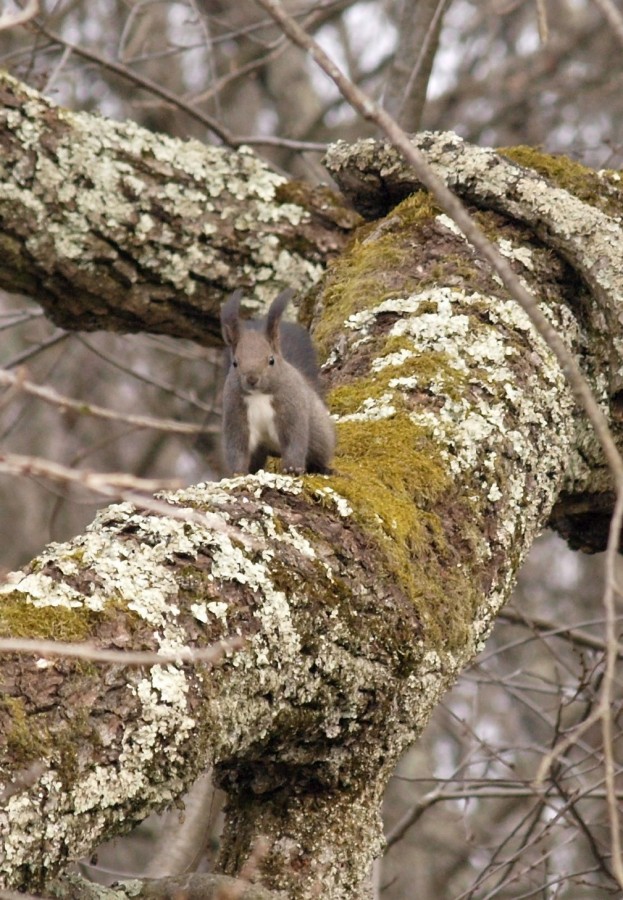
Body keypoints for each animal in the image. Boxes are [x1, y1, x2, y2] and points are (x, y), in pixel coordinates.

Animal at [221, 290, 336, 478]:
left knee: (317, 456)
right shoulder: (236, 416)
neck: (259, 395)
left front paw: (292, 468)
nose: (252, 379)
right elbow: (237, 448)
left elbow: (295, 441)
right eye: (235, 363)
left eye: (271, 360)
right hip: (260, 450)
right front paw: (238, 473)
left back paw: (324, 469)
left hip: (320, 436)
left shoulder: (292, 410)